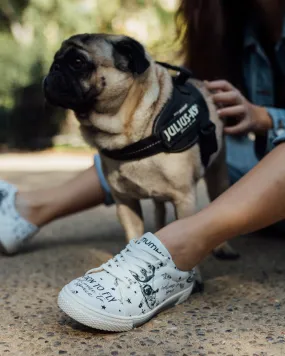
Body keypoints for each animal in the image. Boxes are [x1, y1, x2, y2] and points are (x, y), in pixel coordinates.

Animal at [43, 34, 235, 258]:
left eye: (77, 62)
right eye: (56, 59)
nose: (54, 67)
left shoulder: (184, 198)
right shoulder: (125, 202)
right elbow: (133, 235)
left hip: (217, 174)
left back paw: (223, 248)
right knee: (160, 209)